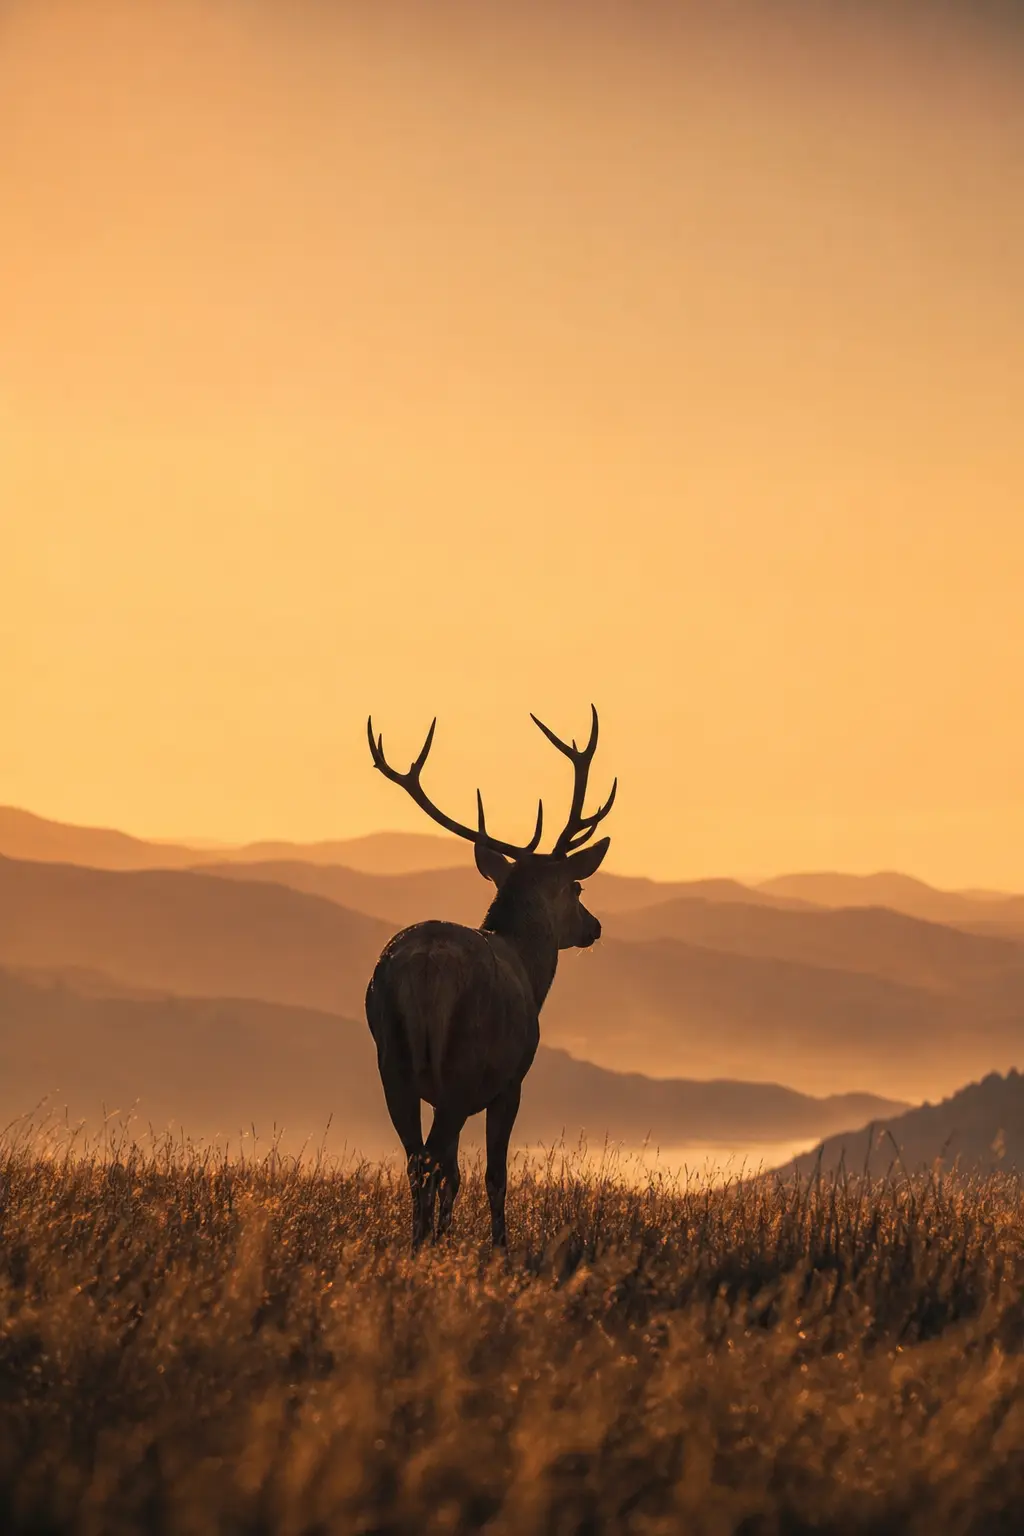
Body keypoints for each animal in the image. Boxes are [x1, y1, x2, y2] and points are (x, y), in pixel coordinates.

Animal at [364, 705, 616, 1250]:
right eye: (577, 887)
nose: (594, 927)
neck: (531, 969)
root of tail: (426, 968)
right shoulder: (511, 1081)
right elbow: (493, 1175)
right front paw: (499, 1246)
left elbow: (455, 1174)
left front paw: (447, 1236)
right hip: (462, 1066)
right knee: (432, 1159)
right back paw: (425, 1246)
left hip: (392, 1061)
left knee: (419, 1160)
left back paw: (416, 1244)